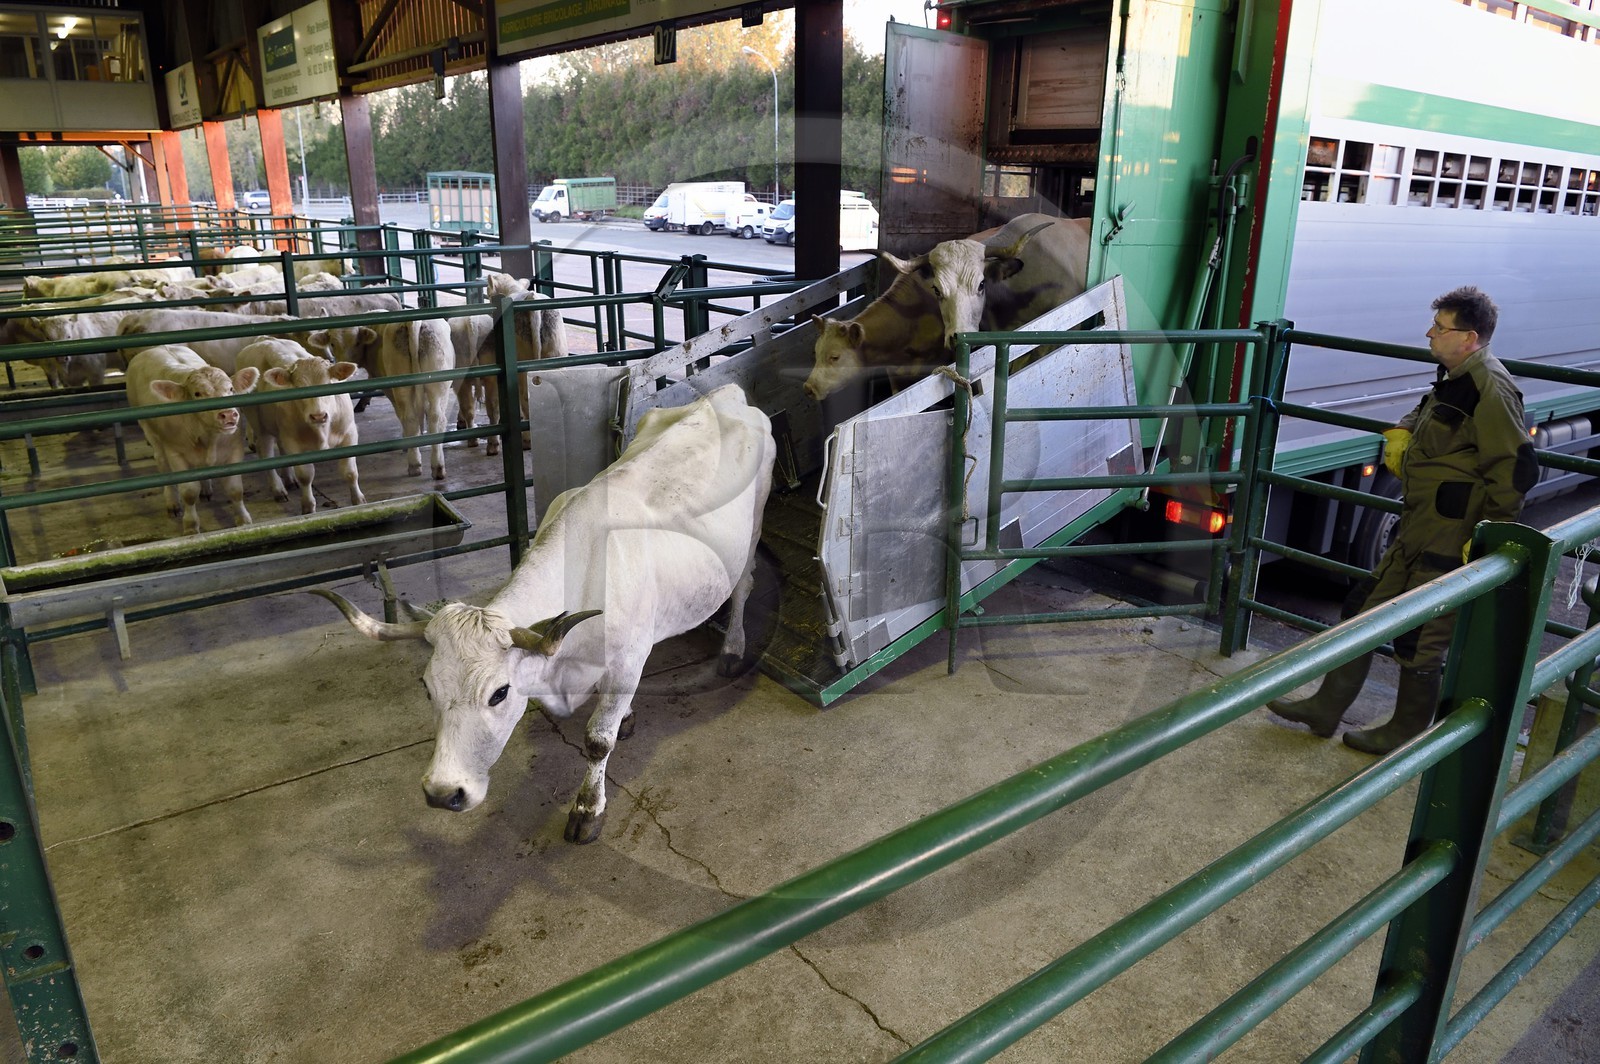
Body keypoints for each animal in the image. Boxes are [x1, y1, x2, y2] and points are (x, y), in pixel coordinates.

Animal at [125, 345, 260, 535]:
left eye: (231, 389)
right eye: (197, 394)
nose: (228, 414)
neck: (209, 438)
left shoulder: (235, 449)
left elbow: (235, 489)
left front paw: (244, 520)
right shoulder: (176, 453)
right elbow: (189, 492)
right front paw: (190, 526)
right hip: (149, 431)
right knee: (162, 464)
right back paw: (172, 502)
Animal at [235, 338, 364, 514]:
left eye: (328, 383)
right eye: (298, 388)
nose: (318, 415)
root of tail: (264, 340)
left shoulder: (349, 434)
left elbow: (350, 472)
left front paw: (358, 500)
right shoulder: (293, 442)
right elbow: (305, 475)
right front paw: (308, 507)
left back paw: (289, 479)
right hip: (260, 426)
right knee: (266, 453)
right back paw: (278, 489)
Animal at [310, 383, 776, 842]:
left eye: (500, 693)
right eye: (426, 688)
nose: (443, 793)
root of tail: (723, 394)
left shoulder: (630, 659)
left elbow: (598, 741)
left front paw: (588, 810)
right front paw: (624, 716)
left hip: (754, 525)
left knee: (744, 585)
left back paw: (732, 650)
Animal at [372, 318, 453, 480]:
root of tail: (414, 322)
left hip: (400, 383)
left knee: (410, 419)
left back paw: (414, 465)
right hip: (437, 384)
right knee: (436, 419)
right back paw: (438, 467)